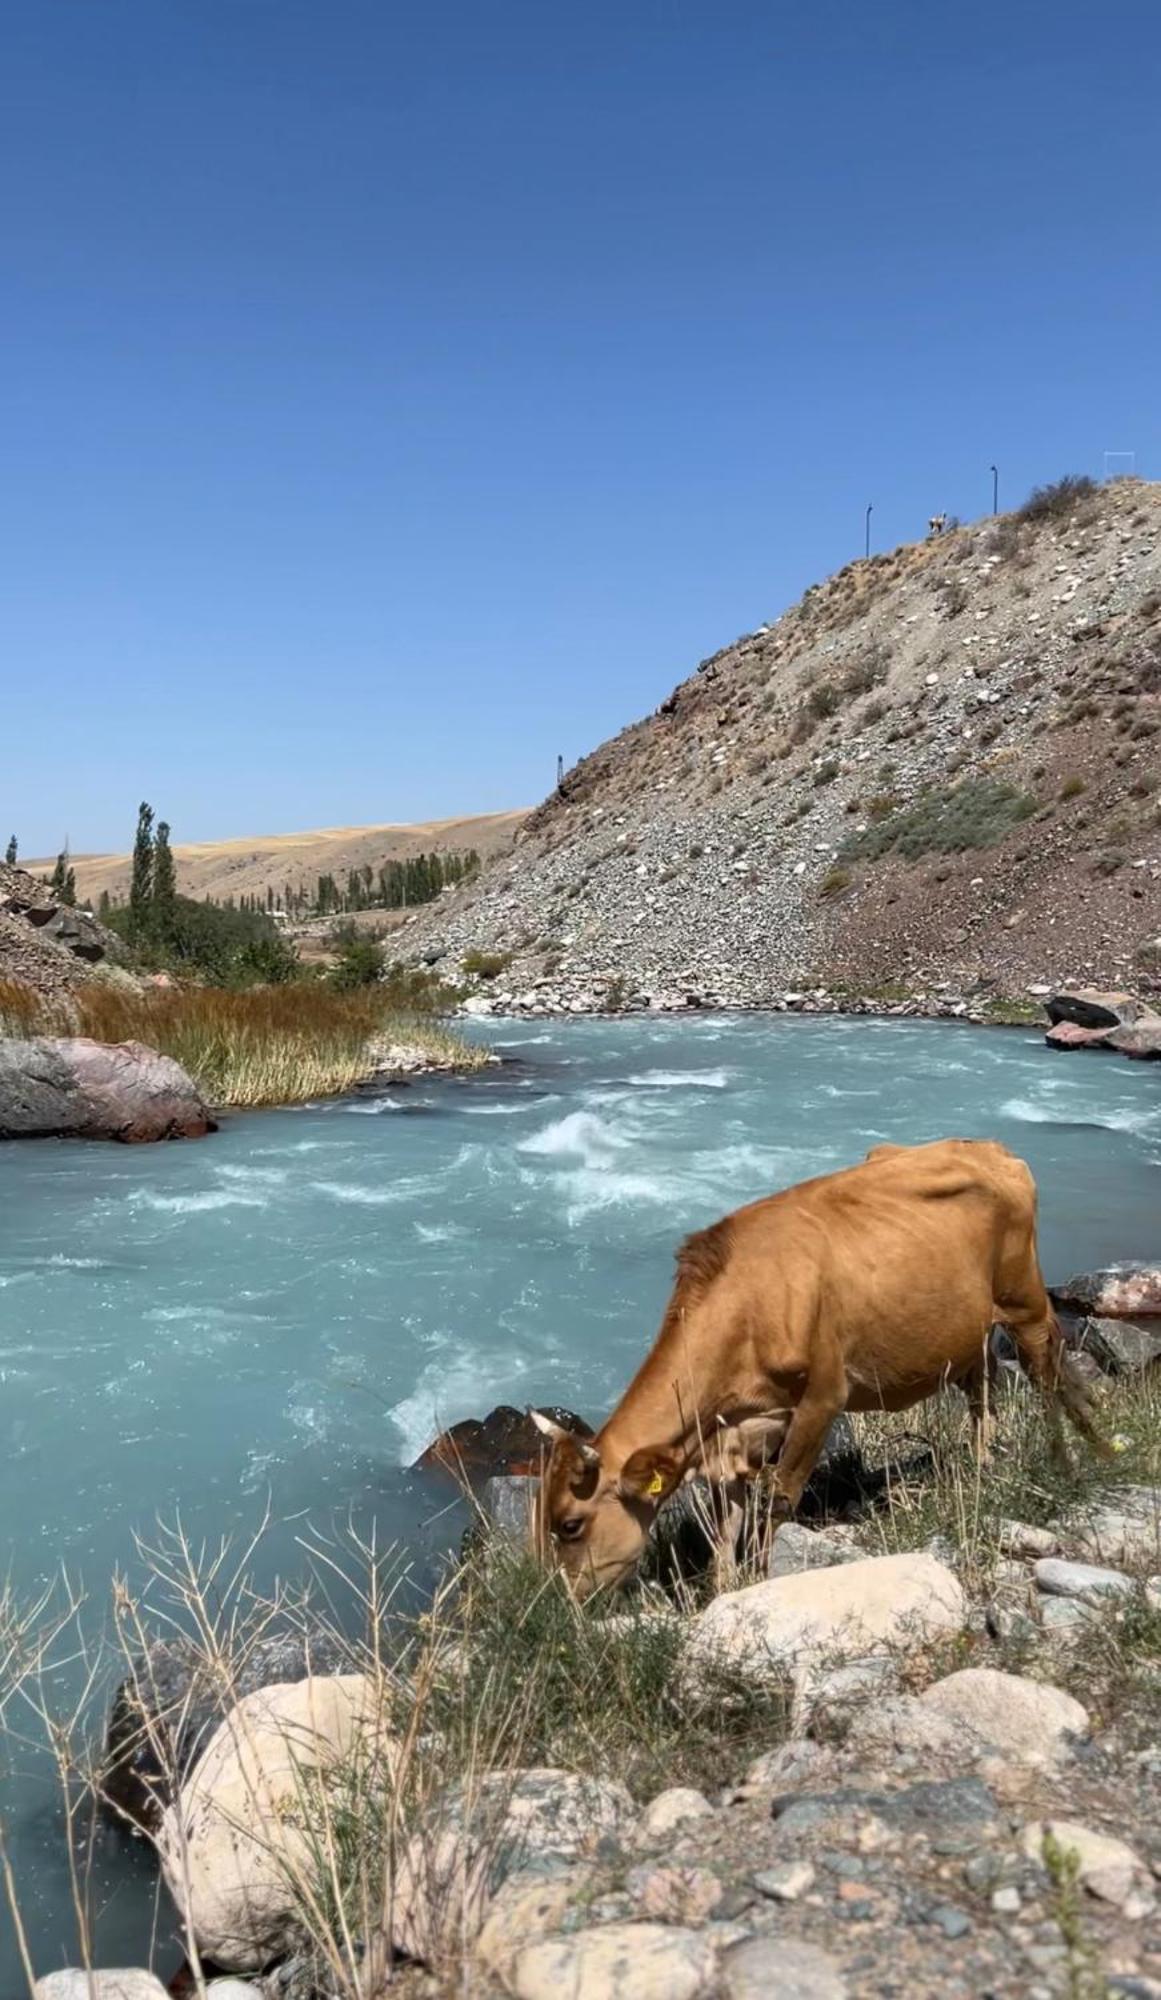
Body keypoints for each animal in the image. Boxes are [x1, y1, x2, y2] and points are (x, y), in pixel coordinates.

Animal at [536, 1144, 1104, 1592]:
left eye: (570, 1525)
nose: (561, 1601)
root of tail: (992, 1149)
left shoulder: (824, 1397)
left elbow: (778, 1501)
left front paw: (760, 1575)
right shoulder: (730, 1433)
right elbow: (725, 1526)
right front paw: (724, 1589)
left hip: (1023, 1297)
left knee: (1047, 1374)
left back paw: (1075, 1458)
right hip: (971, 1329)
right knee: (981, 1391)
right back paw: (984, 1467)